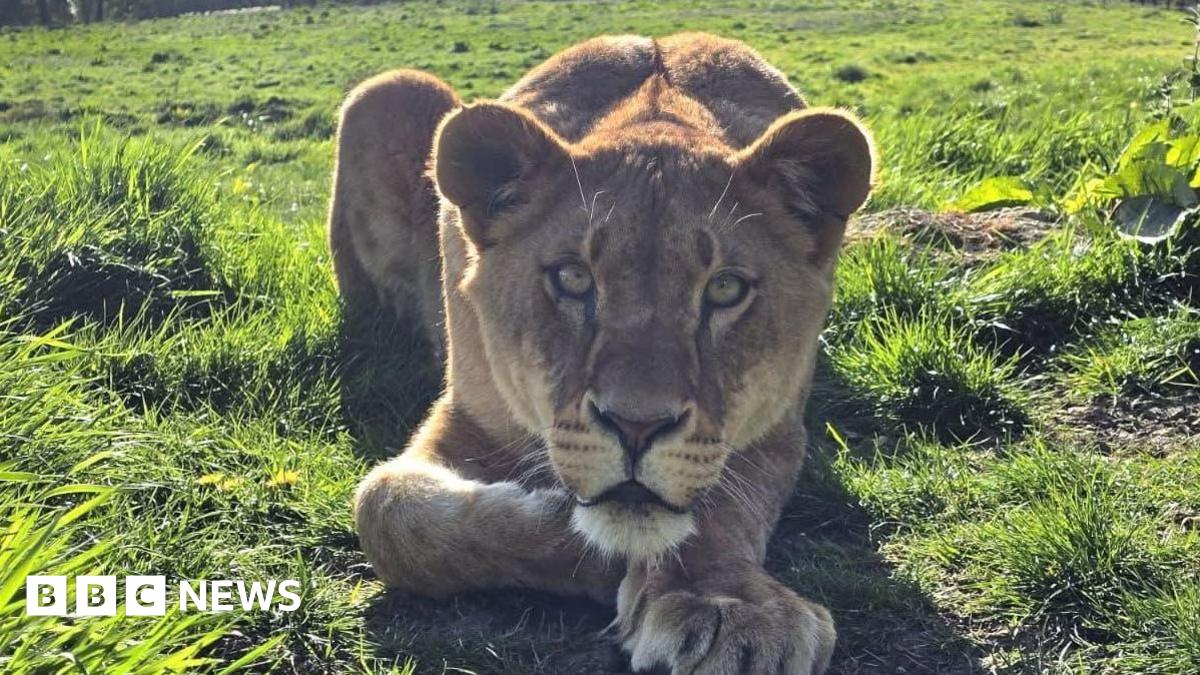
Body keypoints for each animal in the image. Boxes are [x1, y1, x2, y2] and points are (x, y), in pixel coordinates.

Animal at [333, 33, 875, 674]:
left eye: (725, 289)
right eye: (572, 279)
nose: (636, 427)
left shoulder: (777, 422)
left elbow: (716, 510)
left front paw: (727, 610)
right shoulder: (468, 414)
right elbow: (387, 510)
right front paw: (581, 544)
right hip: (388, 89)